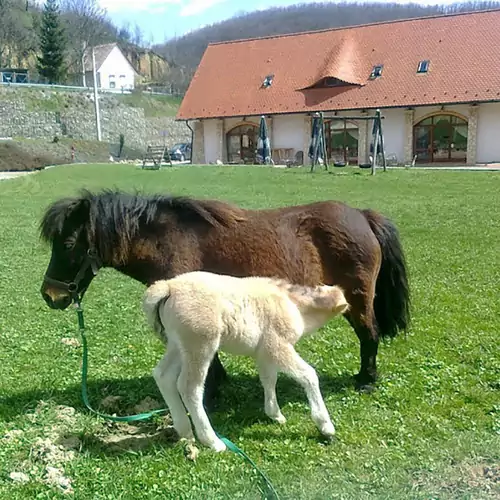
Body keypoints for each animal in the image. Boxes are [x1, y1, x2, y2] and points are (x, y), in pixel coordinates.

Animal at [40, 189, 410, 404]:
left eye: (68, 244)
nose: (50, 295)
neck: (169, 240)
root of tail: (362, 216)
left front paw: (211, 391)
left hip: (357, 300)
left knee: (369, 334)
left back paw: (366, 381)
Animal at [143, 272, 350, 452]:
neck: (294, 306)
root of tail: (168, 287)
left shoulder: (264, 352)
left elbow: (269, 379)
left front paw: (275, 414)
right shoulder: (278, 346)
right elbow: (308, 375)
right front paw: (326, 426)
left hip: (177, 344)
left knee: (163, 375)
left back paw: (185, 432)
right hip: (200, 343)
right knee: (189, 387)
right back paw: (213, 442)